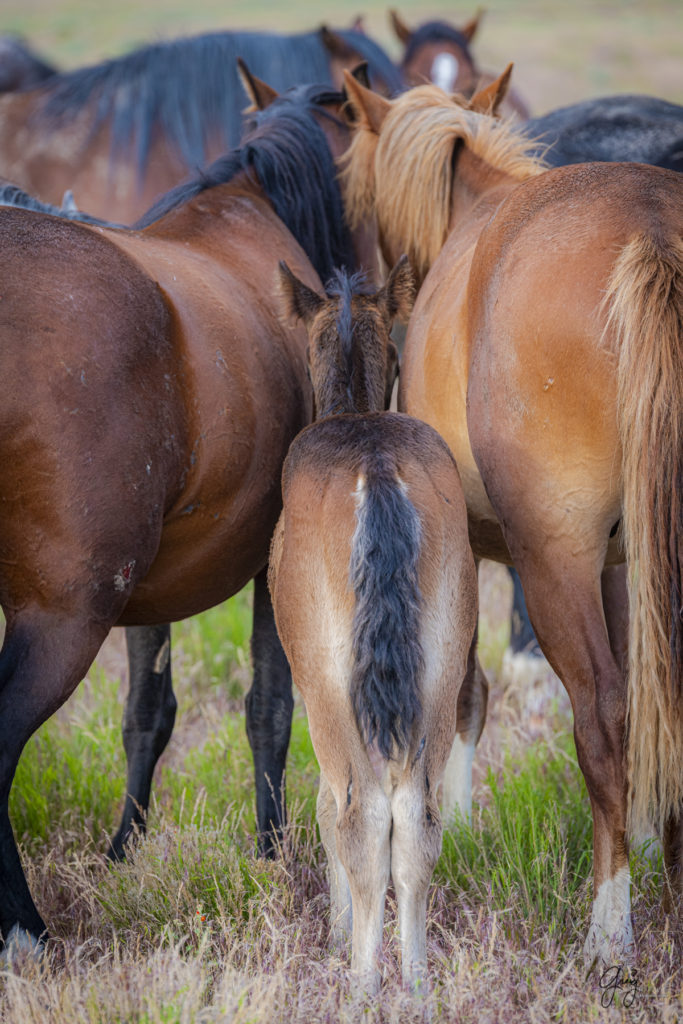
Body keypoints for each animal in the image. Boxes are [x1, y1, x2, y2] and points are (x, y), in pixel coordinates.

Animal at [0, 79, 374, 958]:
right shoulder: (273, 567)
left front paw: (122, 854)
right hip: (64, 618)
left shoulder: (149, 591)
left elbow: (148, 715)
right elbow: (270, 709)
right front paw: (271, 853)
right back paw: (24, 927)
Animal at [270, 258, 479, 991]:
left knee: (360, 815)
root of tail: (377, 465)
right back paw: (413, 981)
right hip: (442, 663)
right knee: (418, 818)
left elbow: (326, 808)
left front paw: (337, 936)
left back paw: (362, 982)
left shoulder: (315, 688)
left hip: (333, 681)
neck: (356, 412)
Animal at [344, 68, 683, 962]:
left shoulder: (465, 547)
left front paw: (454, 824)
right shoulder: (621, 565)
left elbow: (464, 687)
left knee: (598, 717)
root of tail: (651, 228)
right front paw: (653, 841)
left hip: (550, 561)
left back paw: (607, 925)